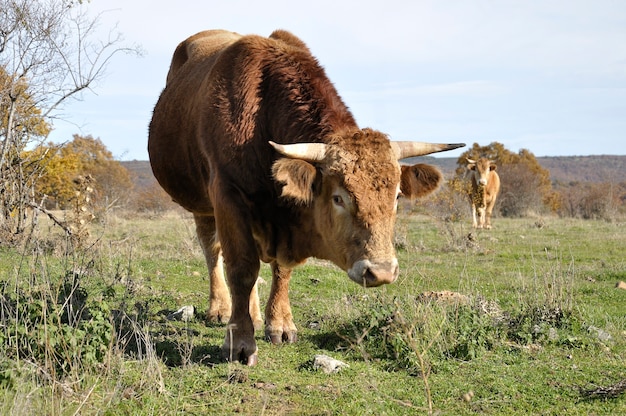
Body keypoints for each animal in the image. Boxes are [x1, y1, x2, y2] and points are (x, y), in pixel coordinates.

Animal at [147, 29, 464, 366]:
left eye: (397, 197)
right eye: (338, 198)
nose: (380, 271)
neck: (261, 111)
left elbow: (280, 270)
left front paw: (279, 323)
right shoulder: (227, 197)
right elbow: (241, 268)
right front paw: (240, 341)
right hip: (202, 205)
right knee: (212, 251)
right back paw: (220, 308)